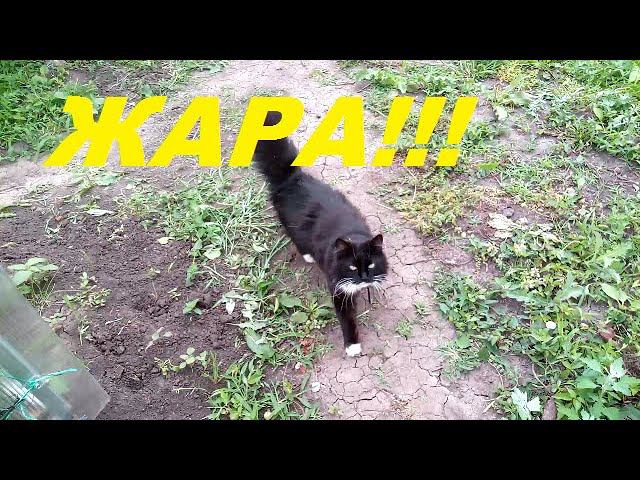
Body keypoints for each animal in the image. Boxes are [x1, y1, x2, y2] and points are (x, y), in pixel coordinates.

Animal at [252, 111, 388, 357]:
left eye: (371, 265)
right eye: (352, 267)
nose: (364, 278)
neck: (352, 234)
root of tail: (292, 177)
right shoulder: (338, 290)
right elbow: (347, 320)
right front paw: (352, 346)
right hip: (291, 225)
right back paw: (307, 255)